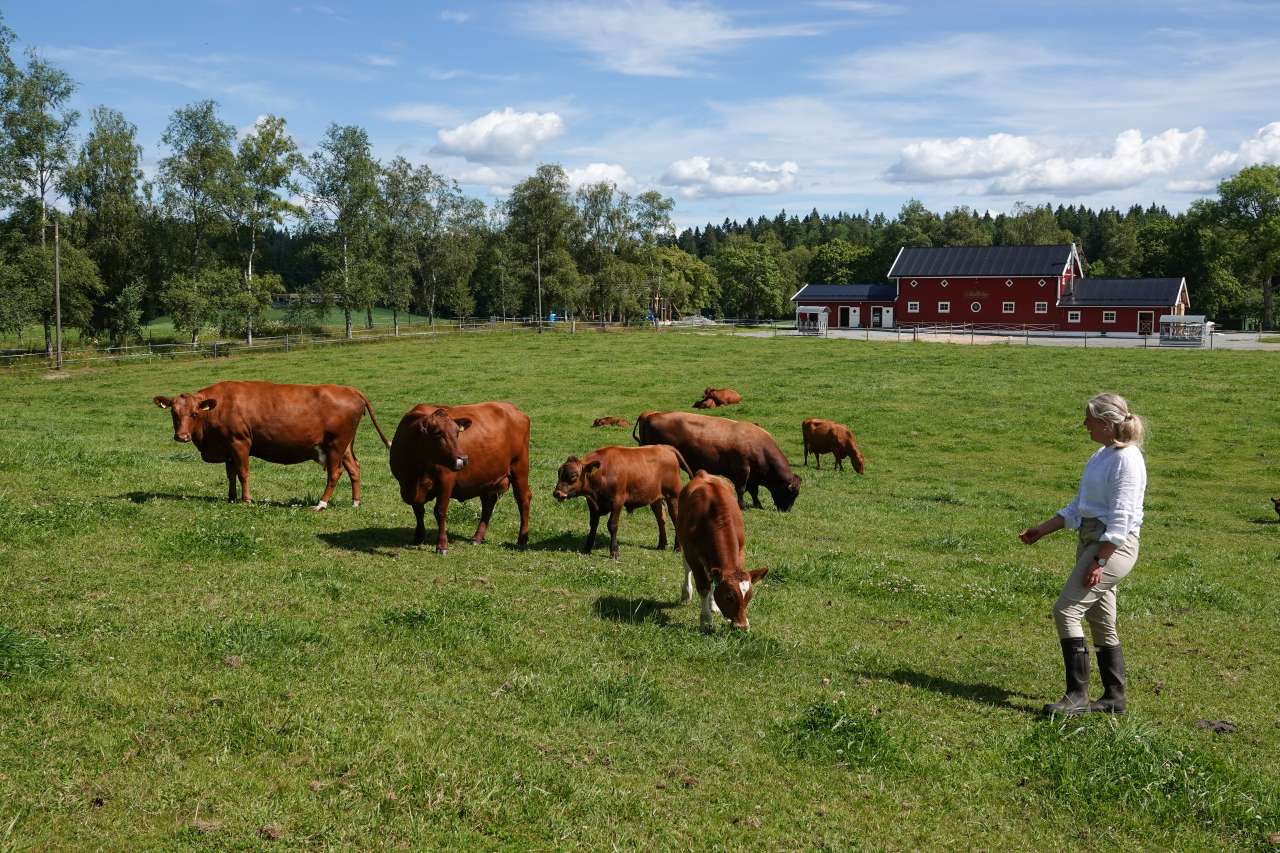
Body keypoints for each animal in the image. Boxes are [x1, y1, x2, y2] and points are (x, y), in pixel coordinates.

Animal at [152, 379, 389, 504]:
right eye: (173, 413)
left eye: (194, 413)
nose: (181, 436)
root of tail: (349, 389)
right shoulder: (227, 447)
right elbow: (230, 474)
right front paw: (231, 498)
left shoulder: (240, 442)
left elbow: (243, 473)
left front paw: (246, 499)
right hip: (345, 445)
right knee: (354, 469)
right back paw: (355, 502)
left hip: (335, 445)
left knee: (335, 472)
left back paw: (321, 504)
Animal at [386, 404, 532, 555]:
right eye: (438, 433)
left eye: (457, 433)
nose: (463, 459)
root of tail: (512, 408)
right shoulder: (408, 486)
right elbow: (418, 510)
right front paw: (419, 537)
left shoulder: (446, 481)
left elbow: (440, 511)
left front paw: (442, 545)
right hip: (487, 478)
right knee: (488, 503)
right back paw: (477, 537)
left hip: (520, 468)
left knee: (523, 500)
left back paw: (522, 540)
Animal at [550, 445, 691, 558]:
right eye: (559, 473)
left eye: (573, 476)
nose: (557, 493)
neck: (603, 473)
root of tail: (665, 447)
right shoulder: (592, 504)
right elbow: (593, 524)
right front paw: (587, 548)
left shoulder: (617, 501)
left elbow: (612, 525)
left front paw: (614, 551)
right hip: (656, 498)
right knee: (661, 519)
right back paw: (661, 544)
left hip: (673, 496)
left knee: (675, 519)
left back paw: (678, 548)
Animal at [632, 409, 798, 507]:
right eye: (792, 493)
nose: (787, 509)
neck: (759, 445)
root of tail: (651, 415)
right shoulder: (742, 470)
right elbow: (742, 489)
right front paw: (742, 505)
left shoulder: (753, 476)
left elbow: (753, 490)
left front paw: (758, 505)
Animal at [675, 468, 762, 627]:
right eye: (729, 597)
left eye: (749, 597)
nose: (742, 626)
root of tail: (703, 473)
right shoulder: (693, 555)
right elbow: (703, 587)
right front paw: (706, 620)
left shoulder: (741, 550)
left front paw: (712, 605)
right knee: (687, 568)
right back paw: (686, 593)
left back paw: (713, 604)